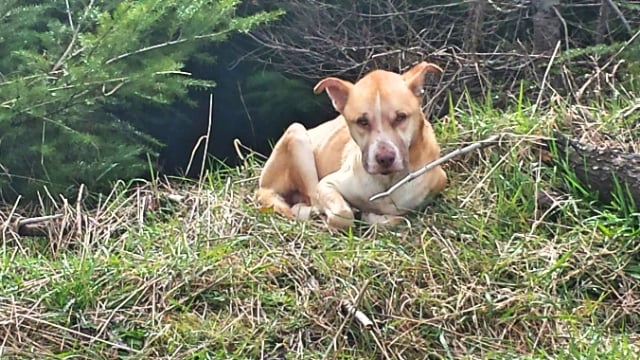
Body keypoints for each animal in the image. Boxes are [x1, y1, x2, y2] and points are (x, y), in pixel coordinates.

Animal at [254, 62, 444, 228]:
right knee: (312, 201)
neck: (386, 182)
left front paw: (373, 216)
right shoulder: (327, 184)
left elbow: (396, 218)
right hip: (297, 133)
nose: (385, 159)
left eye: (401, 117)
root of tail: (264, 186)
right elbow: (342, 214)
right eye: (362, 121)